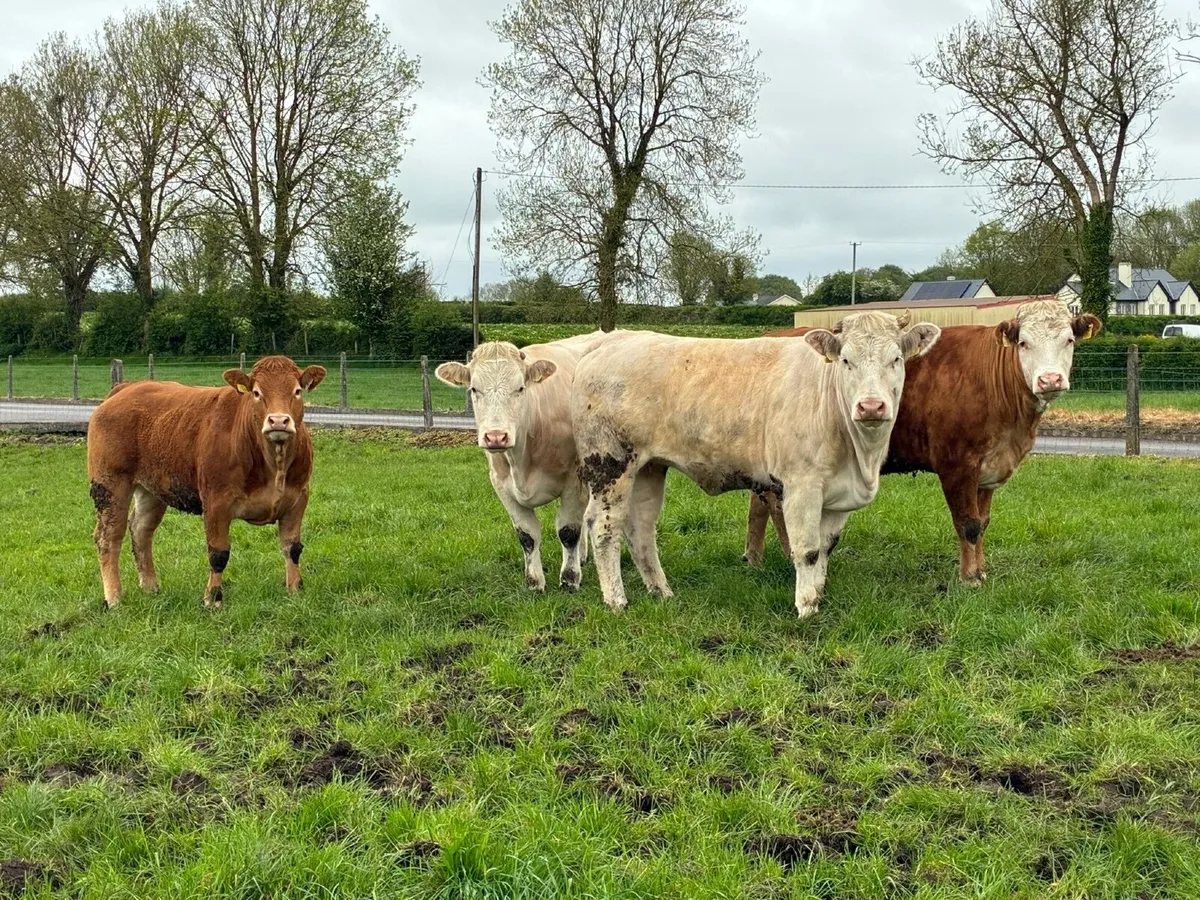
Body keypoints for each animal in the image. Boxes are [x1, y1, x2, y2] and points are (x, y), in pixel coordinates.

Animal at [87, 356, 326, 609]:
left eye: (297, 391)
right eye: (256, 392)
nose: (278, 420)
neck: (273, 465)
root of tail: (125, 388)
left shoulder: (298, 499)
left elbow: (292, 548)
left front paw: (295, 590)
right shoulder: (215, 502)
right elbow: (218, 553)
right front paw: (213, 598)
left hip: (153, 488)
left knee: (141, 530)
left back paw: (151, 587)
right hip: (110, 484)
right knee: (108, 537)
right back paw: (113, 597)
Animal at [434, 332, 620, 593]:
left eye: (520, 388)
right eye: (474, 389)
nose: (496, 436)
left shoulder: (574, 481)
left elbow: (568, 531)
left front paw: (569, 579)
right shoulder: (501, 486)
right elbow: (527, 535)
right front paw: (534, 582)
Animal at [570, 312, 941, 617]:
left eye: (896, 359)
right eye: (846, 360)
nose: (871, 406)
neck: (859, 457)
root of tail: (612, 339)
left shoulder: (838, 498)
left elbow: (825, 548)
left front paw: (819, 593)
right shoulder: (802, 486)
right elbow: (807, 550)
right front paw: (806, 607)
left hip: (649, 468)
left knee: (641, 529)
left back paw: (661, 591)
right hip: (611, 464)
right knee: (604, 528)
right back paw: (616, 601)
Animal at [745, 299, 1102, 584]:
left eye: (1069, 340)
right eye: (1024, 343)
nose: (1050, 379)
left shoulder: (989, 470)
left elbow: (983, 523)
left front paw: (981, 570)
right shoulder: (957, 464)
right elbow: (968, 523)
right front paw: (970, 578)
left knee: (762, 502)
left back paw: (756, 558)